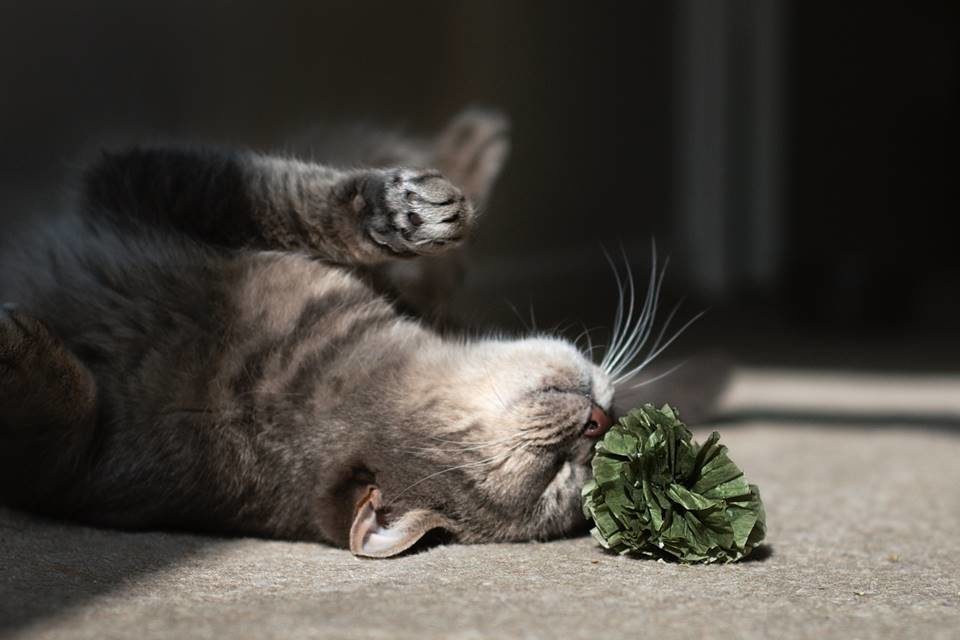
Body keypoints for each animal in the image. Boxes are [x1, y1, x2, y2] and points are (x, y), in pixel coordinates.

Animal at [0, 109, 704, 556]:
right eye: (555, 471)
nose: (600, 422)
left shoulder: (76, 474)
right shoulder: (140, 183)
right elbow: (285, 197)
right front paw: (402, 211)